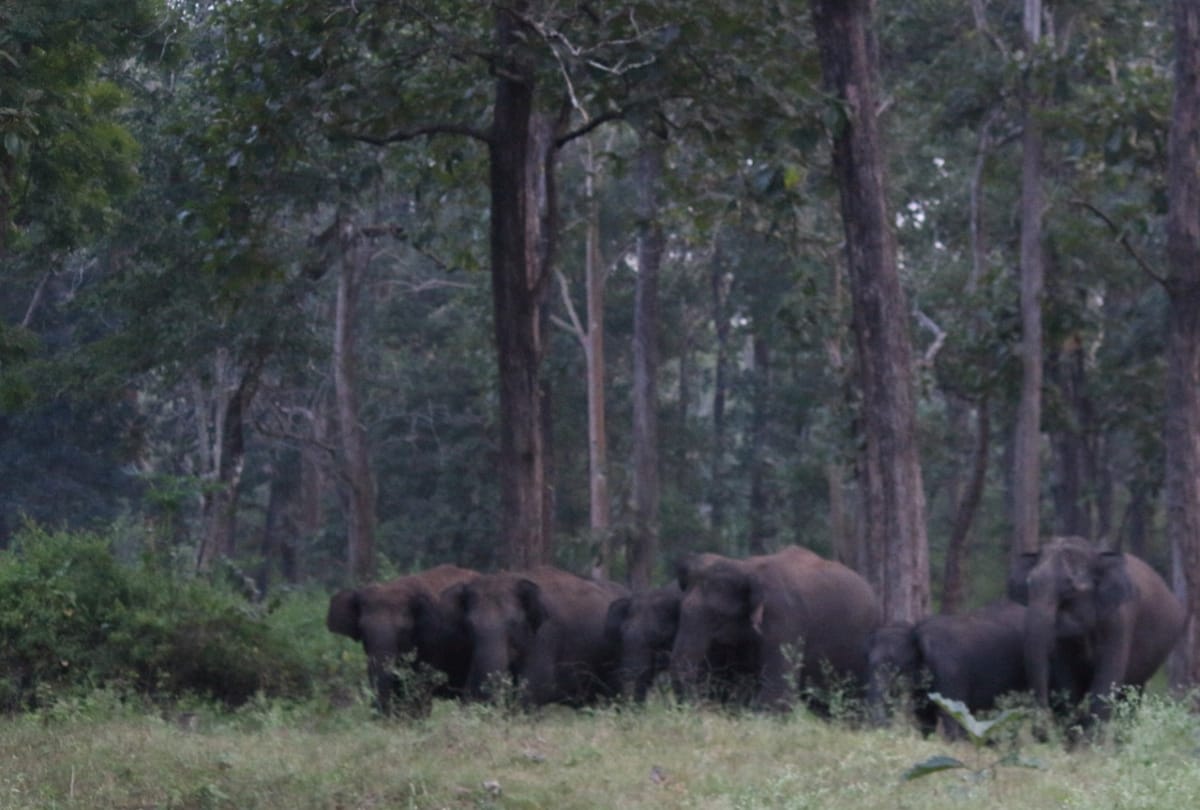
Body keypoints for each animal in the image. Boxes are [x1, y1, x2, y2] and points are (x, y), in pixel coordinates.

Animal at [866, 600, 1029, 739]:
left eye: (895, 667)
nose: (882, 730)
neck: (915, 631)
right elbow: (924, 716)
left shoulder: (950, 672)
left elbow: (950, 714)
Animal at [1007, 535, 1186, 725]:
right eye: (1029, 583)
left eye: (1070, 587)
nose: (1045, 720)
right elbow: (1068, 682)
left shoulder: (1120, 619)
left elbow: (1106, 681)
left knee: (1133, 690)